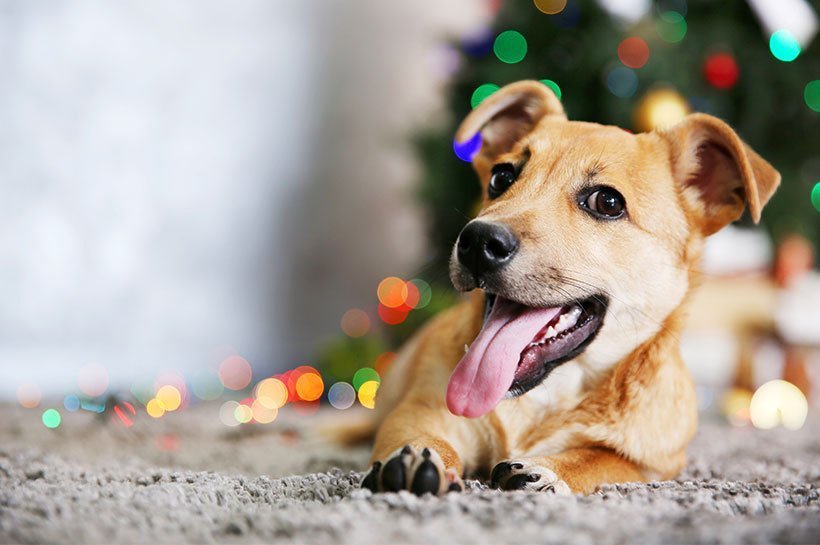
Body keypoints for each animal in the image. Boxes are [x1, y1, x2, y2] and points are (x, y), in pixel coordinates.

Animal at [360, 79, 780, 492]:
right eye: (501, 177)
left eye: (608, 202)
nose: (478, 242)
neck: (546, 395)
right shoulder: (419, 410)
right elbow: (422, 435)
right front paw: (417, 457)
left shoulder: (656, 464)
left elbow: (599, 459)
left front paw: (546, 472)